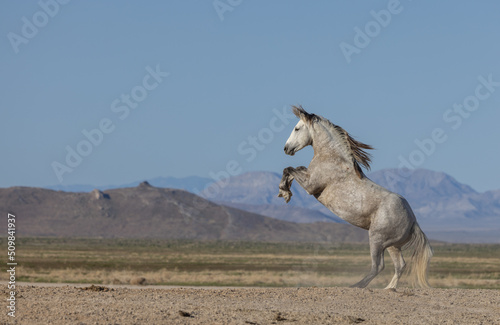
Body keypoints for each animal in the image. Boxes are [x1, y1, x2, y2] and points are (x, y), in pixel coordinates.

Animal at [278, 105, 434, 288]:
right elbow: (294, 169)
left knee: (378, 266)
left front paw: (284, 191)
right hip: (392, 245)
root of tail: (413, 221)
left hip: (377, 239)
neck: (332, 158)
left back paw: (356, 286)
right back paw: (389, 289)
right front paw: (284, 191)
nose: (286, 148)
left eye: (297, 128)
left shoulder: (311, 185)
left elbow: (290, 169)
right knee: (400, 265)